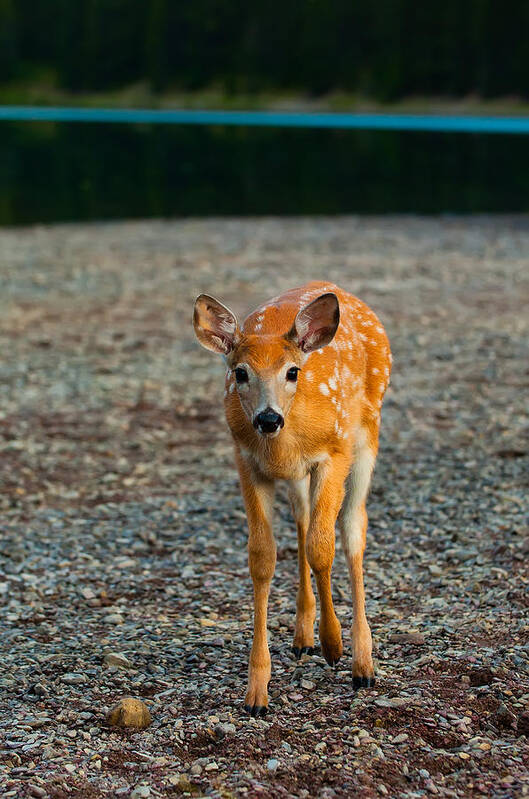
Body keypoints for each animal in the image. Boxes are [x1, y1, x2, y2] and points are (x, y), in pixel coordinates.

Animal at [192, 282, 390, 720]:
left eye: (293, 371)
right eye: (240, 372)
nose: (268, 419)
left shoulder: (334, 453)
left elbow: (322, 548)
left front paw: (335, 645)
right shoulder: (247, 462)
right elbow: (262, 557)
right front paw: (256, 692)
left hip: (367, 430)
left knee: (353, 528)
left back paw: (363, 662)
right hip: (299, 475)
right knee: (302, 519)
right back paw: (302, 636)